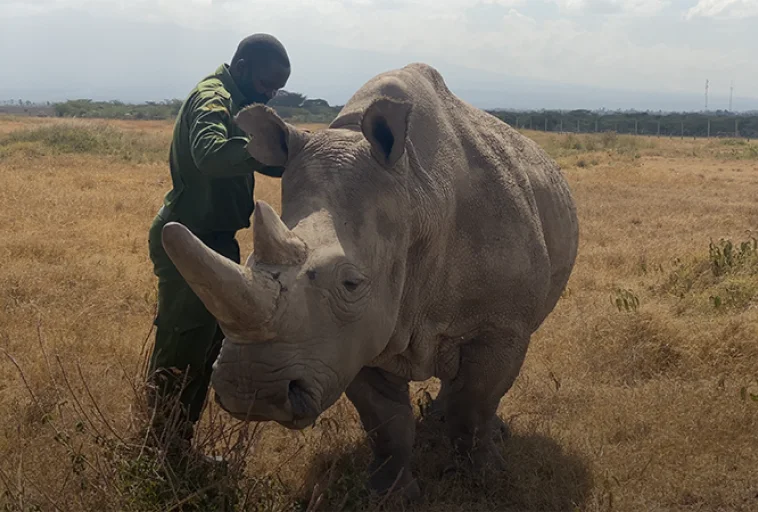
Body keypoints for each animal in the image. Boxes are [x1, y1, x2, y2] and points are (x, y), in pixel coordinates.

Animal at [161, 62, 579, 498]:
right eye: (249, 260)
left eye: (351, 284)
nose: (252, 393)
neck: (418, 195)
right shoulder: (350, 336)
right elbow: (385, 420)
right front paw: (390, 494)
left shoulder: (500, 324)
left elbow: (476, 403)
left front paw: (484, 480)